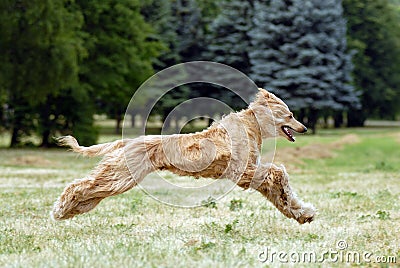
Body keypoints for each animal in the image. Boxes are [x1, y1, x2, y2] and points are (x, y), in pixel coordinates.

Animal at [52, 89, 316, 223]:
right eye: (290, 115)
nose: (304, 128)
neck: (252, 126)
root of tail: (129, 141)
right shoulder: (242, 170)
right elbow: (278, 172)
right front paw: (297, 205)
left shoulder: (250, 173)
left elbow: (278, 191)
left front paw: (302, 213)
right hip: (121, 174)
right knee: (78, 186)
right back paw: (60, 210)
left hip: (120, 176)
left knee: (89, 192)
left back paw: (69, 211)